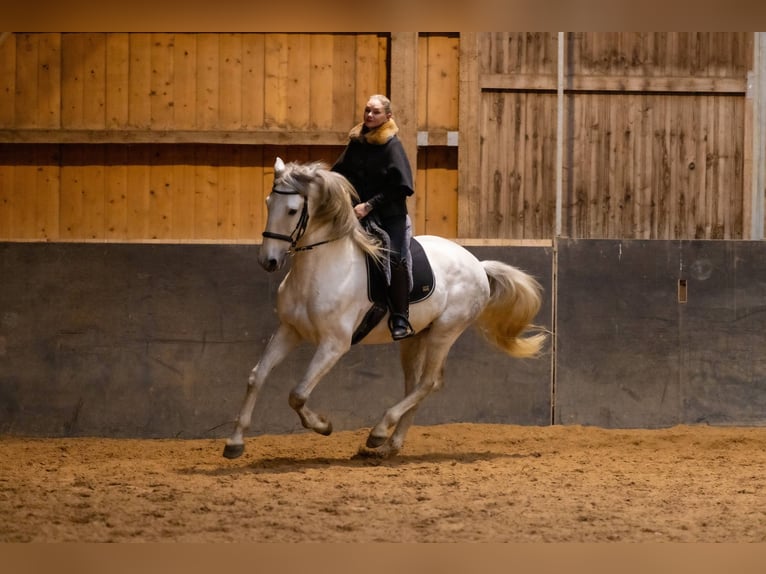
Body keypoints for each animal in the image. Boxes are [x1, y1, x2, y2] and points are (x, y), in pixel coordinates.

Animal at [225, 160, 548, 462]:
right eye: (268, 203)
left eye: (292, 210)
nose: (268, 261)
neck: (322, 269)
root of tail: (477, 265)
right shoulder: (289, 330)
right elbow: (257, 377)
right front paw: (234, 442)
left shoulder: (334, 344)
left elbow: (298, 393)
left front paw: (324, 426)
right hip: (415, 338)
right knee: (415, 385)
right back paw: (390, 445)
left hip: (445, 332)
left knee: (428, 382)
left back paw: (379, 432)